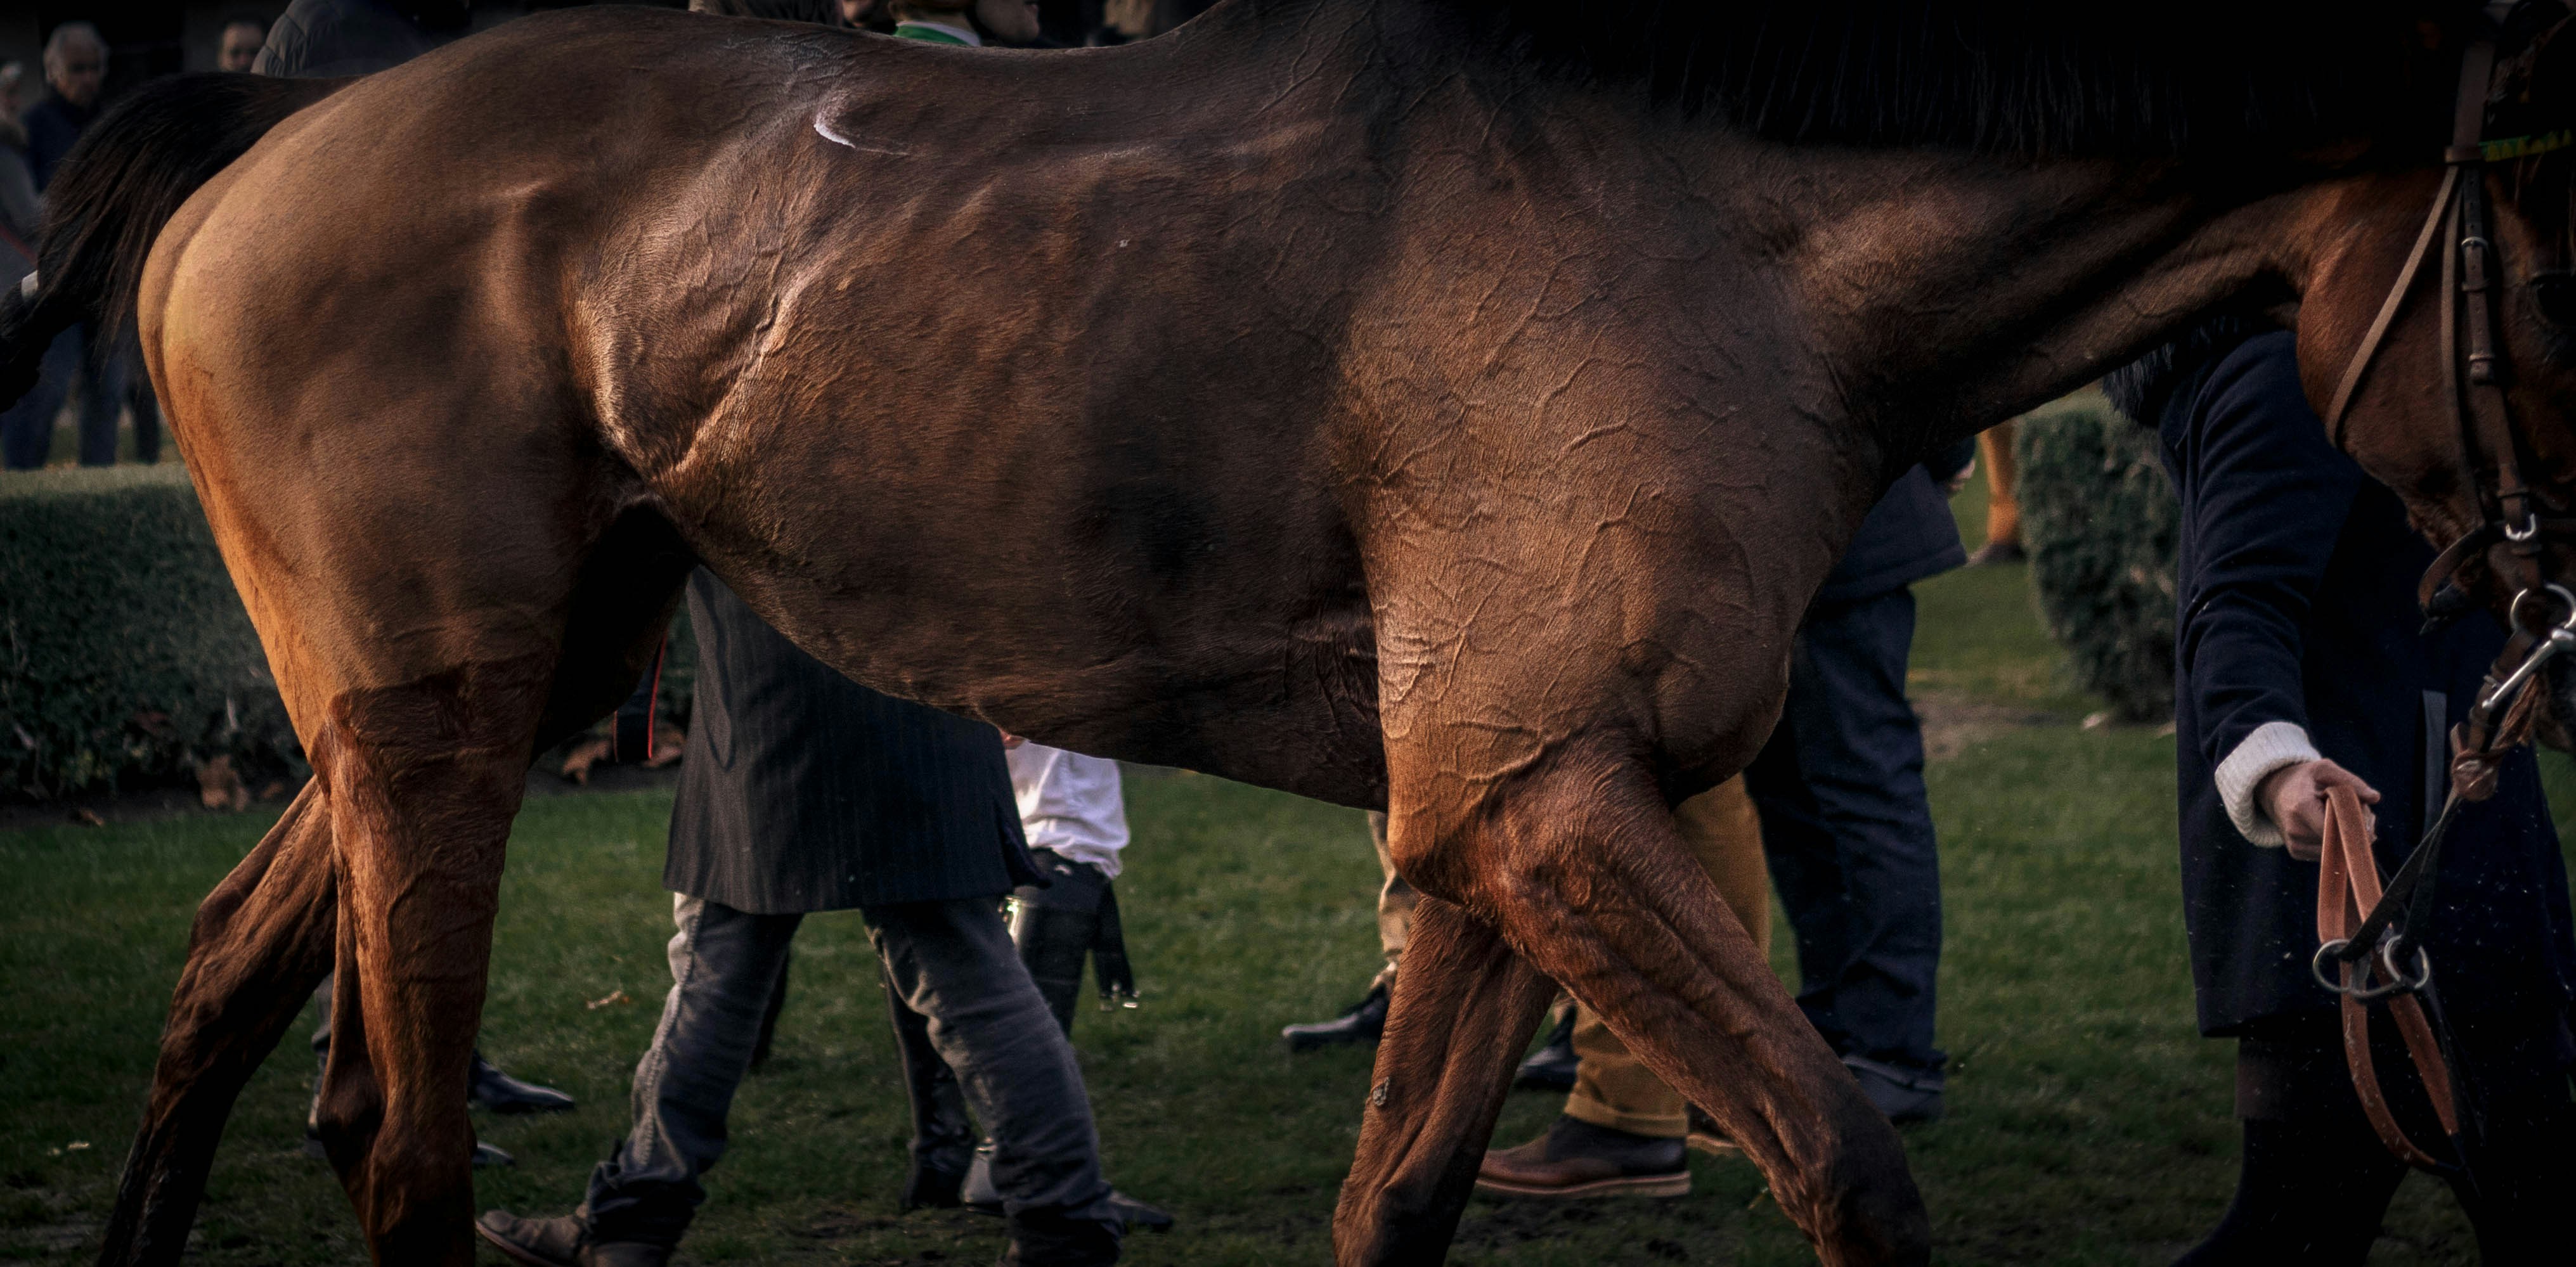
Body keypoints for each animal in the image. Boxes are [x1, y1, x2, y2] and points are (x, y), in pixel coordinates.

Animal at [8, 1, 2573, 1263]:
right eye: (2551, 247)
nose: (2546, 623)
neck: (1732, 247)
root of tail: (271, 134)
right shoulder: (1541, 790)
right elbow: (1849, 1163)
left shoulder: (1507, 814)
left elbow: (1397, 1193)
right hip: (435, 697)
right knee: (393, 1132)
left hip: (499, 672)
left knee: (229, 983)